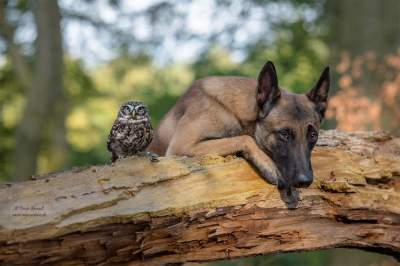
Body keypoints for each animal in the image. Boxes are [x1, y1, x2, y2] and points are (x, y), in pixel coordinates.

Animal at [148, 60, 330, 189]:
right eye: (284, 134)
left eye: (313, 136)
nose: (305, 181)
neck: (234, 110)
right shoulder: (182, 146)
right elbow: (244, 138)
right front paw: (268, 164)